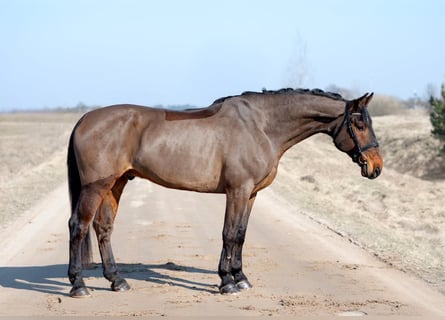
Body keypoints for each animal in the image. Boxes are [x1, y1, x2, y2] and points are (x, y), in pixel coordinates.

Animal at [66, 88, 382, 298]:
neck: (261, 126)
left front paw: (241, 278)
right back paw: (78, 285)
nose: (376, 167)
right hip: (96, 186)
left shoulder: (251, 194)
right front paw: (227, 283)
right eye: (359, 124)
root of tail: (85, 118)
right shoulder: (237, 191)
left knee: (103, 228)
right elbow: (229, 234)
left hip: (116, 183)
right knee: (78, 226)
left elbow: (240, 235)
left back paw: (117, 281)